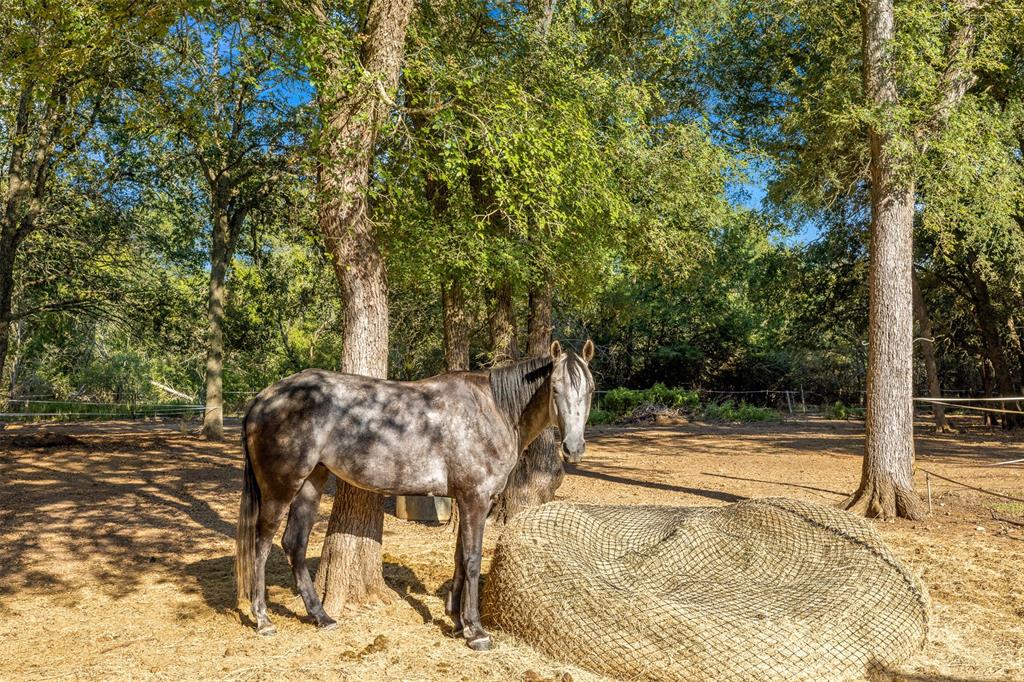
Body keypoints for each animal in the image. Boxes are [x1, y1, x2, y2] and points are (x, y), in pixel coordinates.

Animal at [234, 339, 598, 647]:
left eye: (591, 389)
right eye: (555, 388)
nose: (573, 448)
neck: (493, 411)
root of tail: (264, 398)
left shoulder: (466, 499)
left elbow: (460, 556)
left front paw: (457, 621)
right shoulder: (475, 499)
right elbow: (473, 559)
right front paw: (476, 631)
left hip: (312, 481)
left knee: (294, 543)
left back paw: (321, 616)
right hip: (280, 488)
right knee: (262, 544)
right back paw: (263, 619)